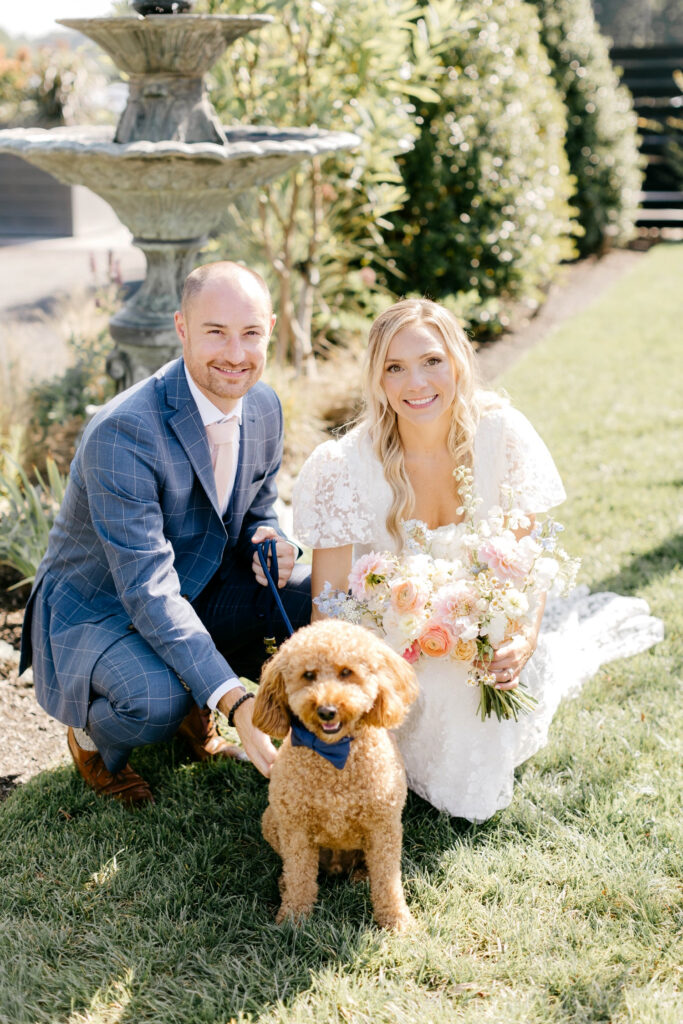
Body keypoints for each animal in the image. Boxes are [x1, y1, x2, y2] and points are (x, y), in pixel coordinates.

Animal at [253, 618, 419, 933]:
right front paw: (293, 920)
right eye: (308, 675)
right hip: (272, 820)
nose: (327, 710)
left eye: (346, 672)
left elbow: (388, 882)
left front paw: (396, 922)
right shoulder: (296, 830)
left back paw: (361, 876)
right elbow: (300, 878)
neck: (334, 755)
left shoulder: (384, 827)